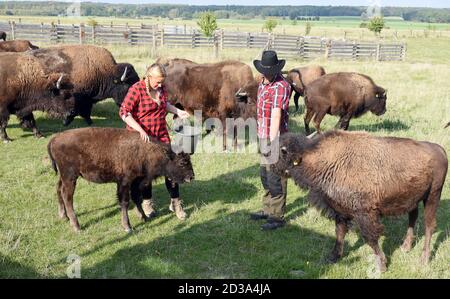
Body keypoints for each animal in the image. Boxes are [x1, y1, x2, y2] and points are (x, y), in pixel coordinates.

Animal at [48, 127, 195, 233]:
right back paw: (76, 226)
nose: (191, 177)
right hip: (70, 177)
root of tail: (54, 139)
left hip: (64, 176)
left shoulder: (137, 182)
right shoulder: (124, 182)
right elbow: (124, 202)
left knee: (58, 189)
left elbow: (137, 198)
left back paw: (63, 216)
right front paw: (128, 227)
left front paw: (143, 217)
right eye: (182, 162)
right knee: (67, 197)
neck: (145, 151)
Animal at [272, 131, 448, 274]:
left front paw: (381, 266)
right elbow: (340, 233)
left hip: (433, 196)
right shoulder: (340, 212)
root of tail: (439, 149)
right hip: (413, 199)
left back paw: (424, 259)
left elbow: (370, 238)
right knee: (413, 218)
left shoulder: (365, 213)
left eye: (281, 151)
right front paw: (333, 257)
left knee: (429, 226)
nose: (271, 166)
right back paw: (405, 248)